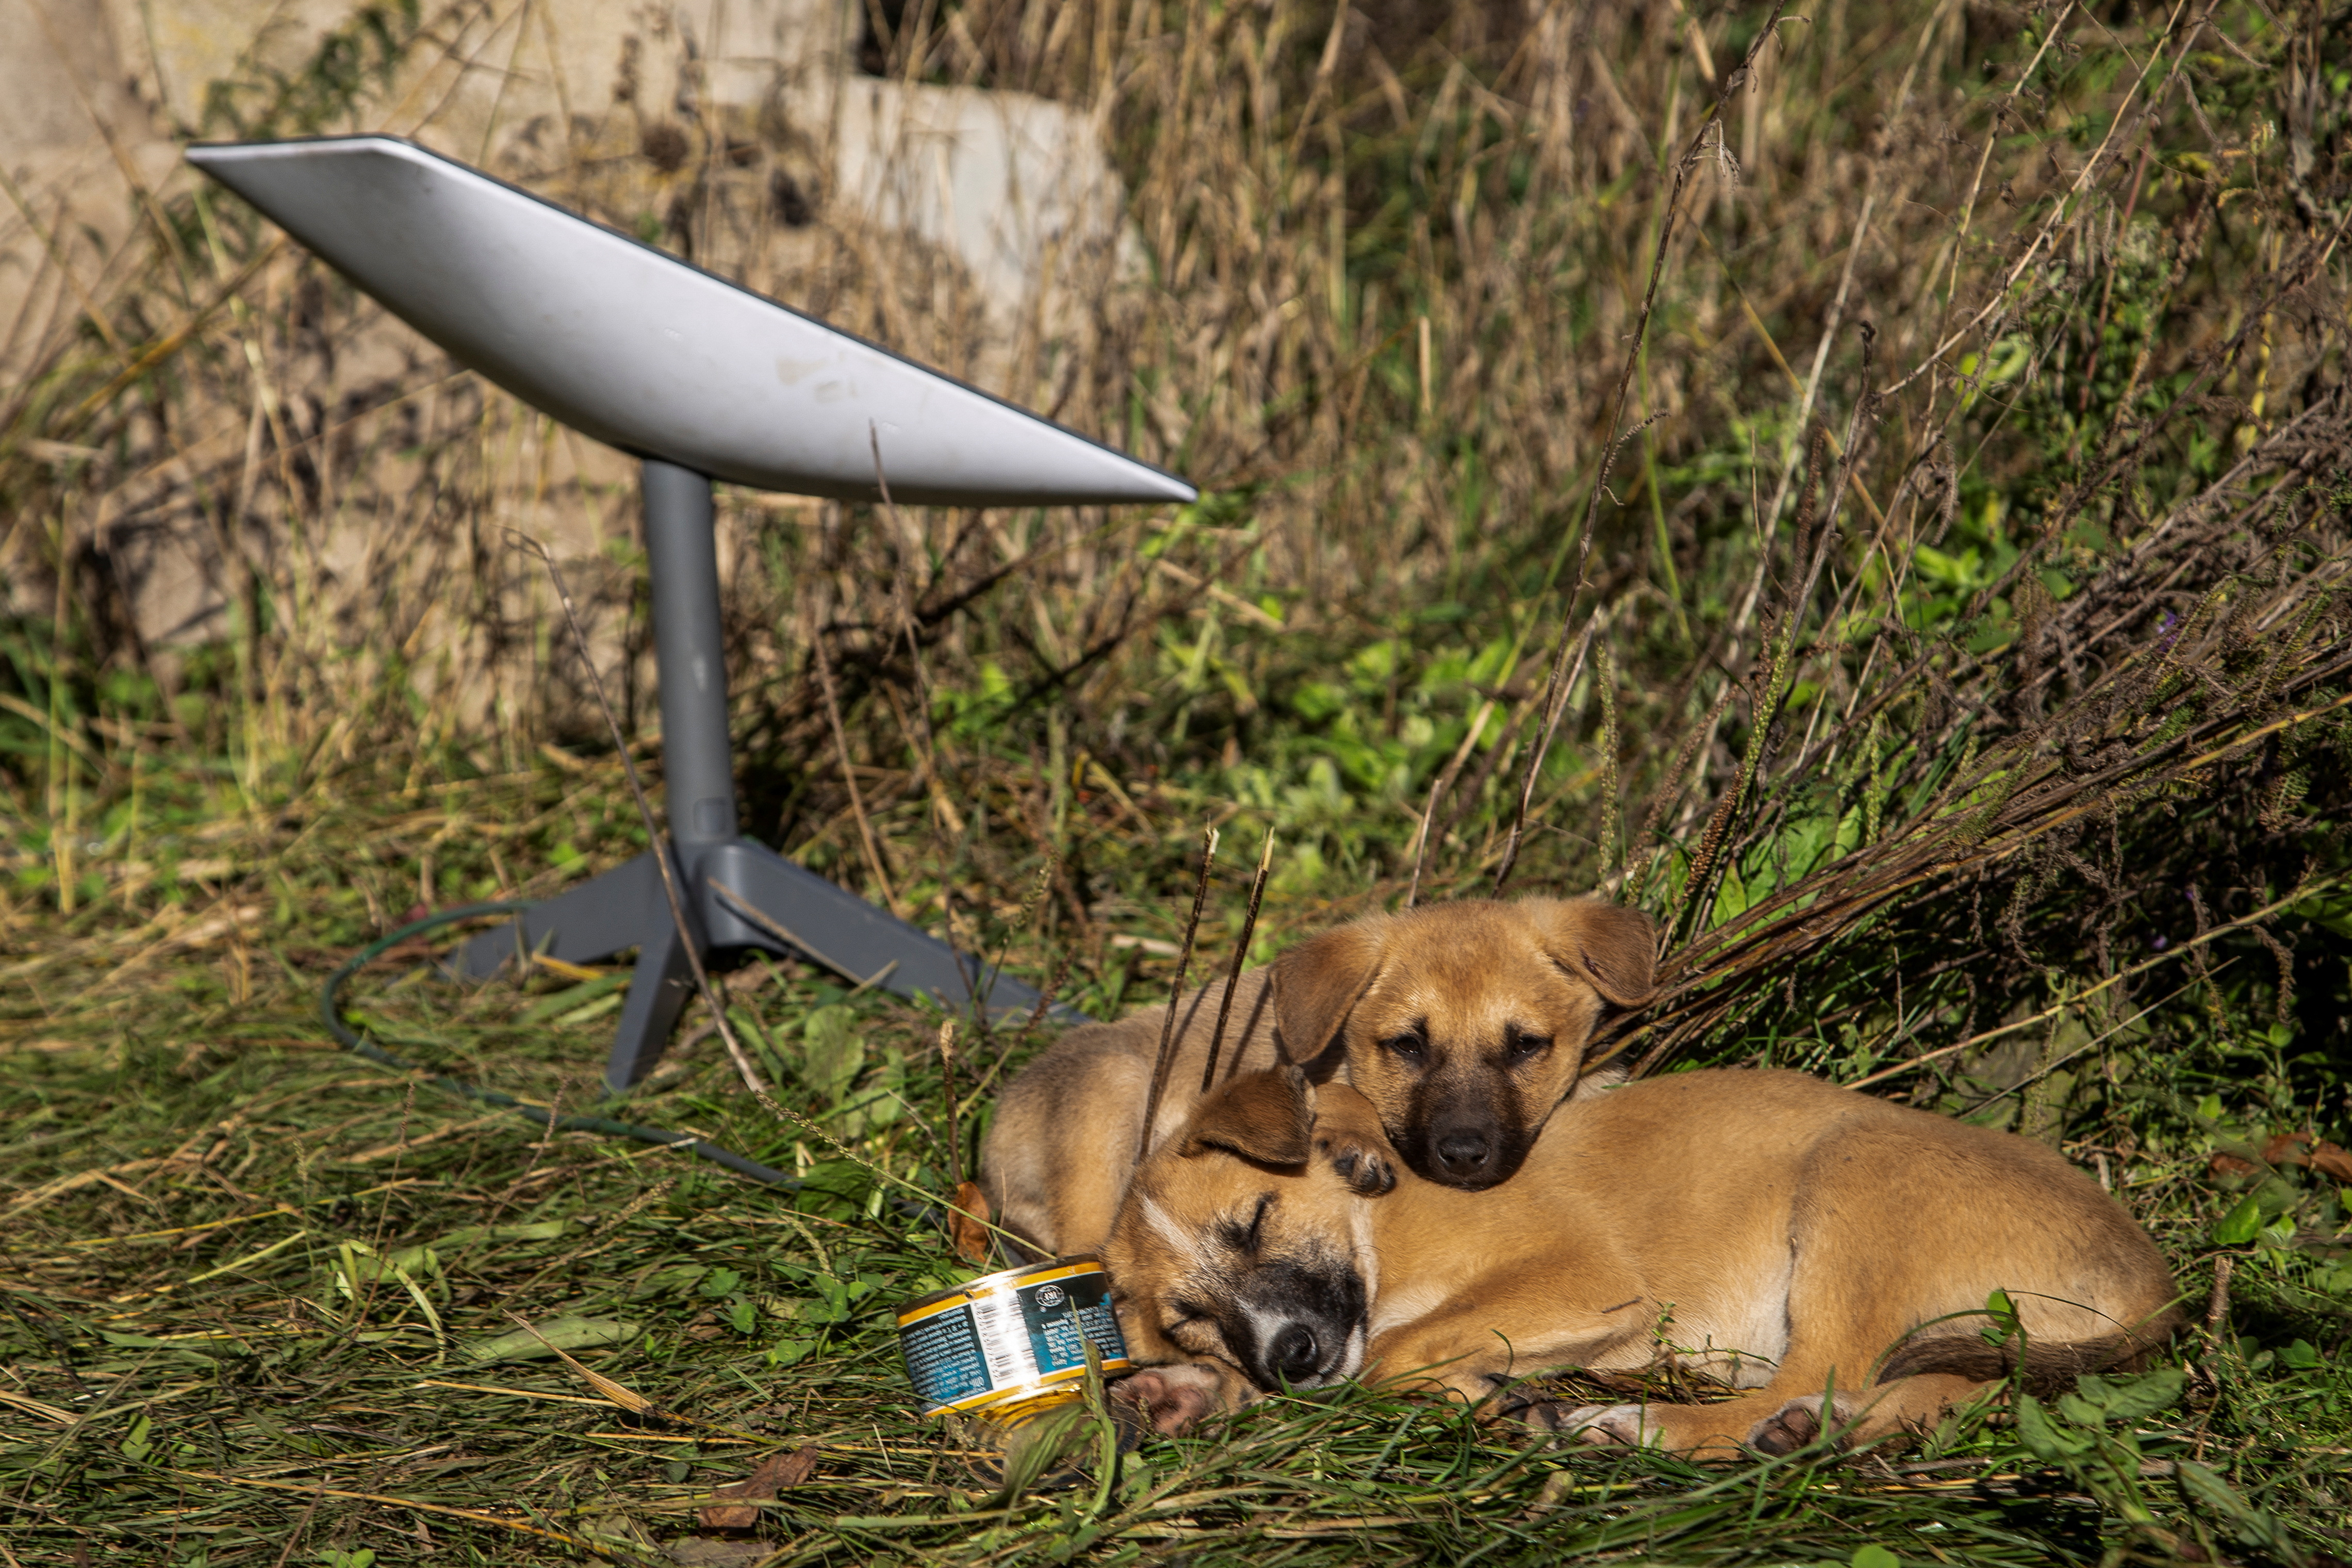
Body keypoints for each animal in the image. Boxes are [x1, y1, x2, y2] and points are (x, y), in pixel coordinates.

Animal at [974, 902, 1655, 1260]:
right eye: (1407, 1045)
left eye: (1524, 1045)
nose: (1463, 1155)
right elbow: (1341, 1090)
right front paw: (1356, 1141)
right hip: (1112, 1093)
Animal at [1100, 1062, 2182, 1457]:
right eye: (1189, 1317)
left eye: (1255, 1218)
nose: (1285, 1354)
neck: (1384, 1227)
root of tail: (2154, 1275)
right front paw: (1183, 1393)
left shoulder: (1584, 1279)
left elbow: (1392, 1356)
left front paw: (1492, 1399)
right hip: (1958, 1334)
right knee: (1927, 1391)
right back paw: (1807, 1434)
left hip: (1851, 1174)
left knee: (1815, 1374)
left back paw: (1651, 1425)